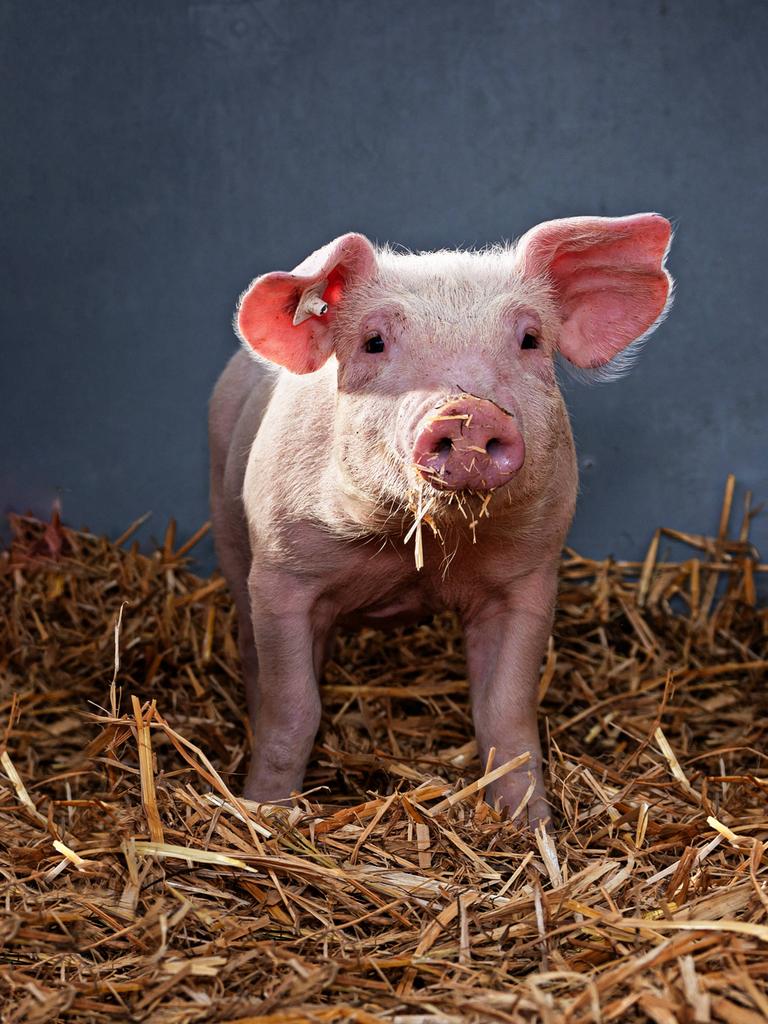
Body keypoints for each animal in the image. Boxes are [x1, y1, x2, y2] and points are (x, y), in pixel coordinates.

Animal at [210, 216, 671, 823]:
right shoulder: (283, 572)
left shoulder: (528, 578)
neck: (416, 550)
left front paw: (531, 827)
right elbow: (292, 710)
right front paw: (265, 811)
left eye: (529, 339)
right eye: (374, 341)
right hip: (227, 529)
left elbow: (505, 712)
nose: (469, 412)